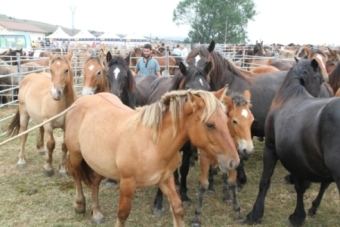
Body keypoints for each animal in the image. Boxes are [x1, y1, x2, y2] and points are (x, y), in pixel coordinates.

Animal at [63, 87, 239, 225]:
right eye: (210, 124)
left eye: (227, 120)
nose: (234, 162)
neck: (153, 143)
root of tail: (82, 100)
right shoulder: (127, 183)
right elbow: (122, 214)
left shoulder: (166, 179)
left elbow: (178, 208)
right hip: (76, 155)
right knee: (77, 176)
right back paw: (79, 204)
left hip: (99, 162)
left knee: (95, 182)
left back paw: (97, 212)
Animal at [244, 59, 340, 227]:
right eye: (320, 79)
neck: (289, 96)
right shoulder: (298, 159)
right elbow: (300, 186)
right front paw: (299, 215)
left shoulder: (270, 149)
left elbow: (265, 181)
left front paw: (255, 214)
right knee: (325, 183)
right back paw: (314, 207)